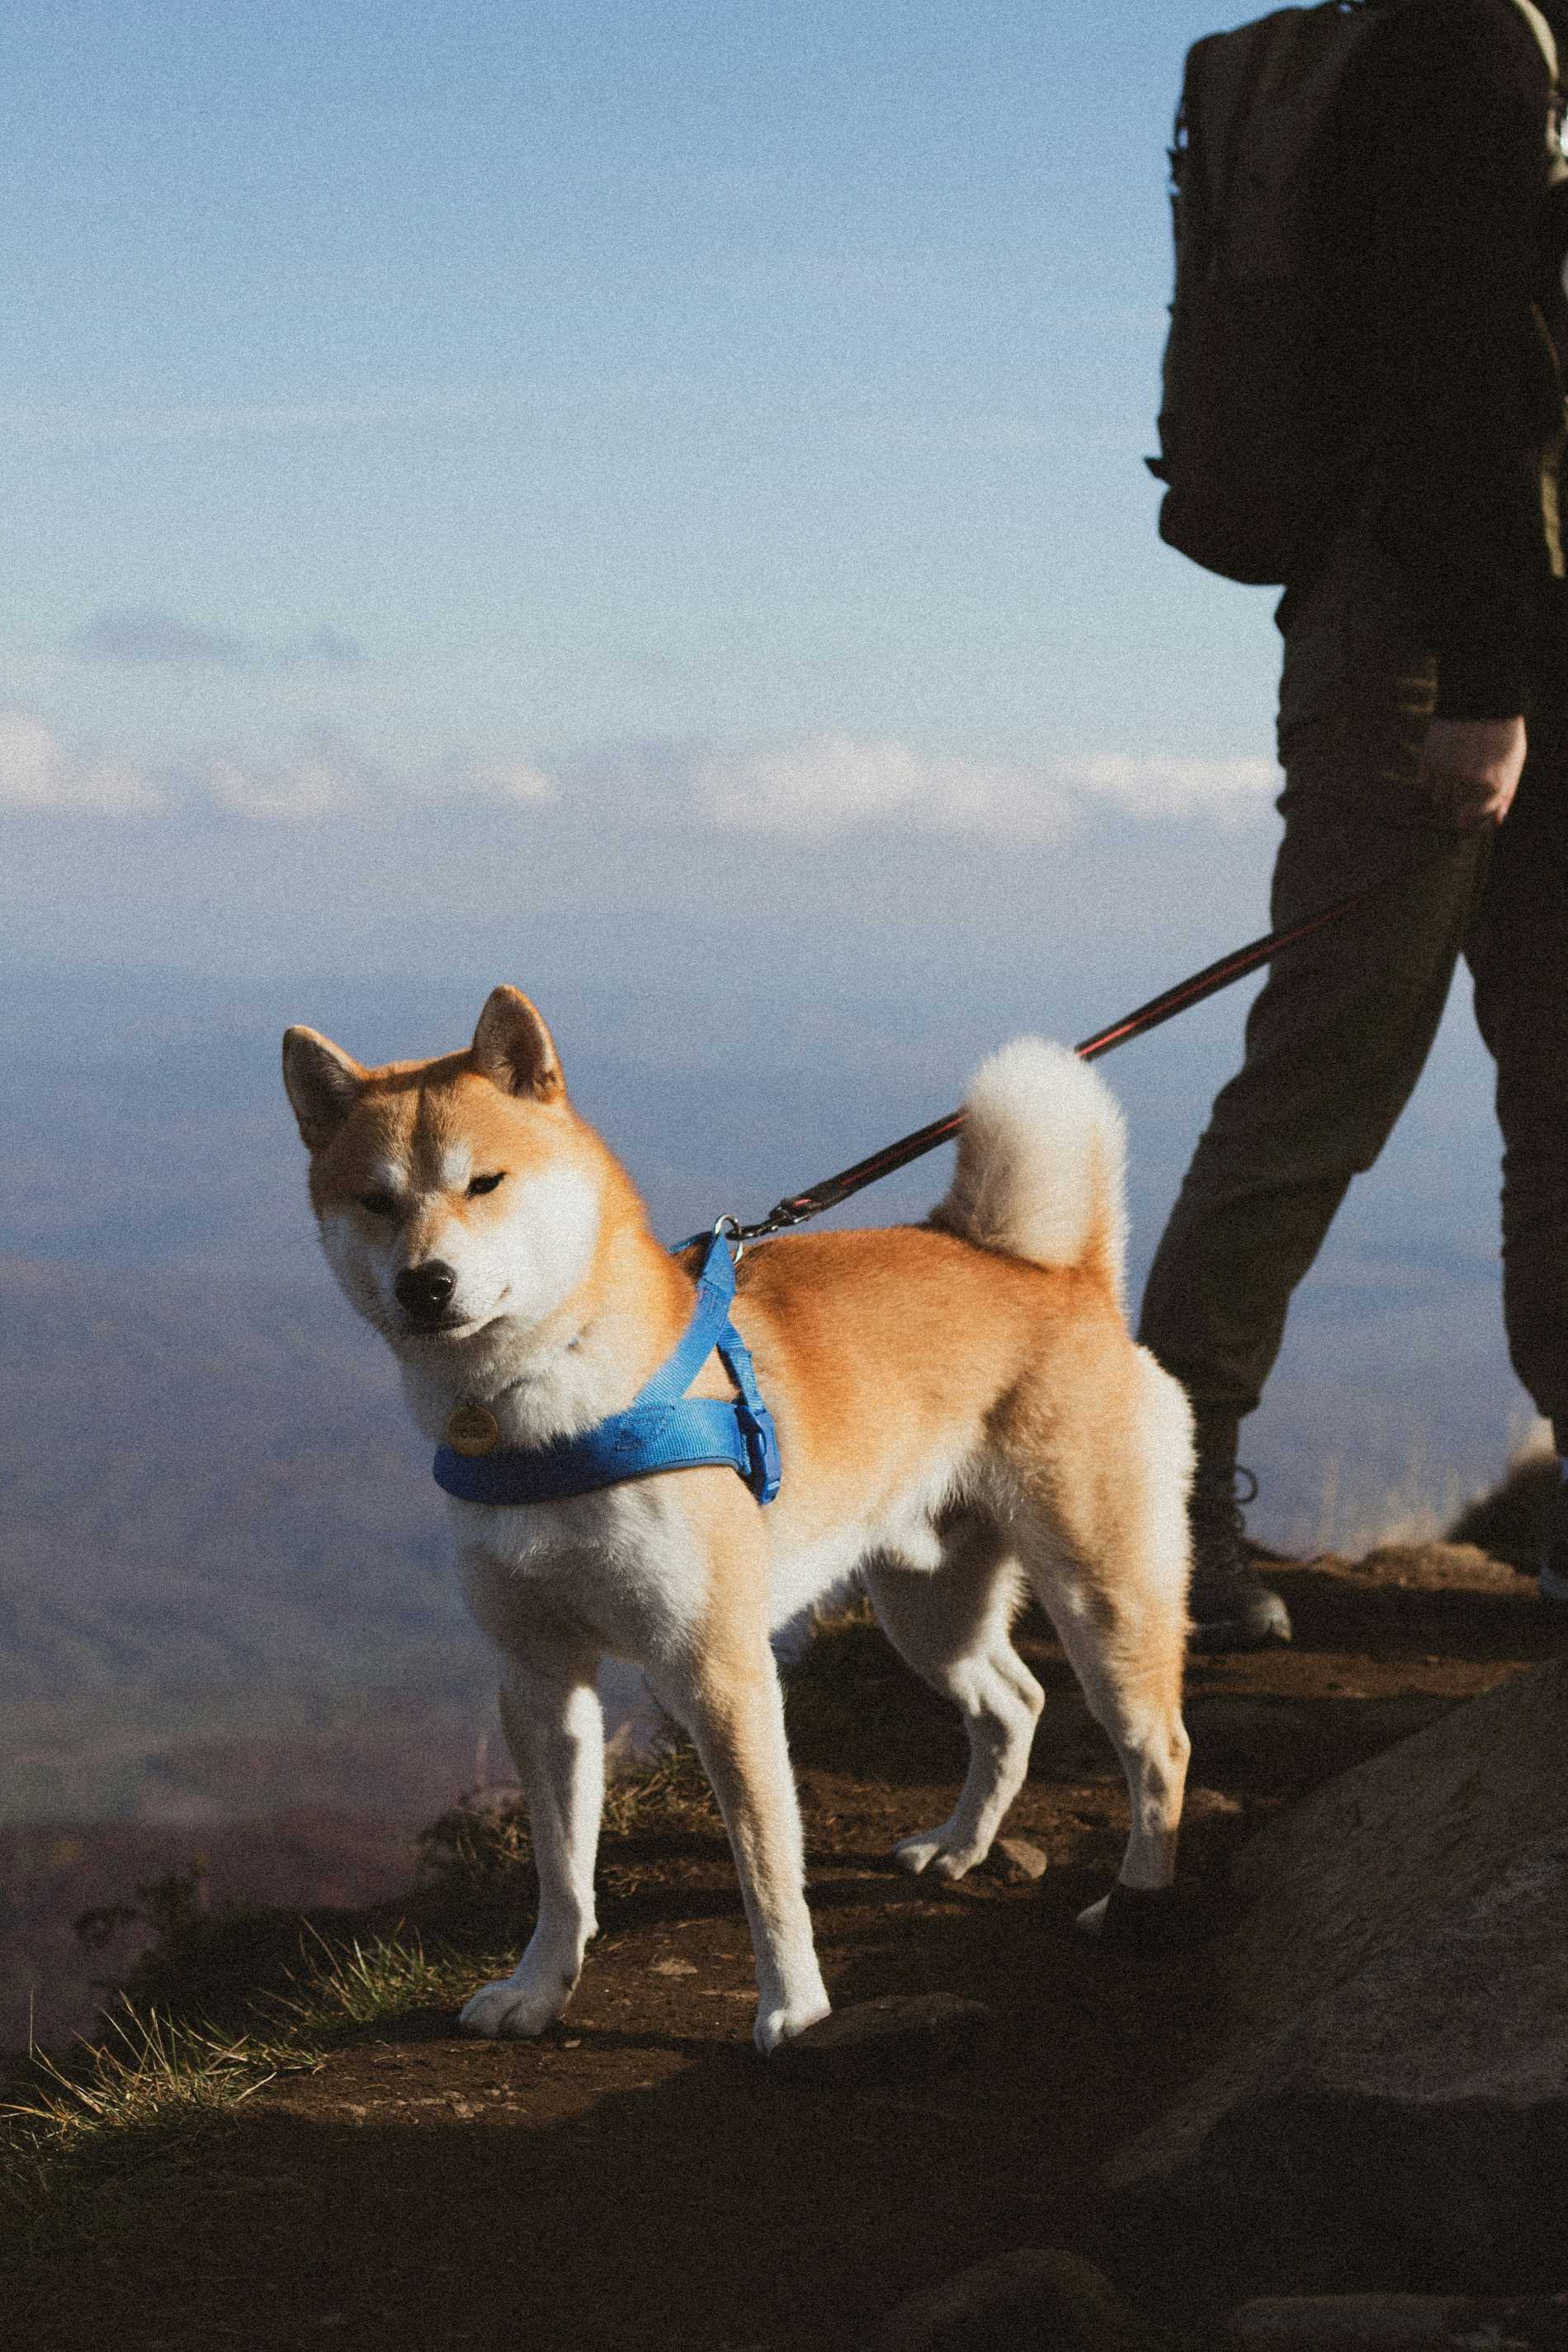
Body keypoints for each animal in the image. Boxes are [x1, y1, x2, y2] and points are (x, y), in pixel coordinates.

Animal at [281, 983, 1189, 2051]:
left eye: (485, 1183)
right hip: (927, 1611)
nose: (424, 1284)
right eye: (375, 1201)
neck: (548, 1412)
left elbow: (766, 1871)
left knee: (1158, 1749)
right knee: (1014, 1704)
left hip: (1101, 1598)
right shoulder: (541, 1680)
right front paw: (539, 1990)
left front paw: (794, 2009)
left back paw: (1136, 1904)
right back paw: (961, 1847)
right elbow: (561, 1873)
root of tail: (1057, 1275)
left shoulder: (719, 1671)